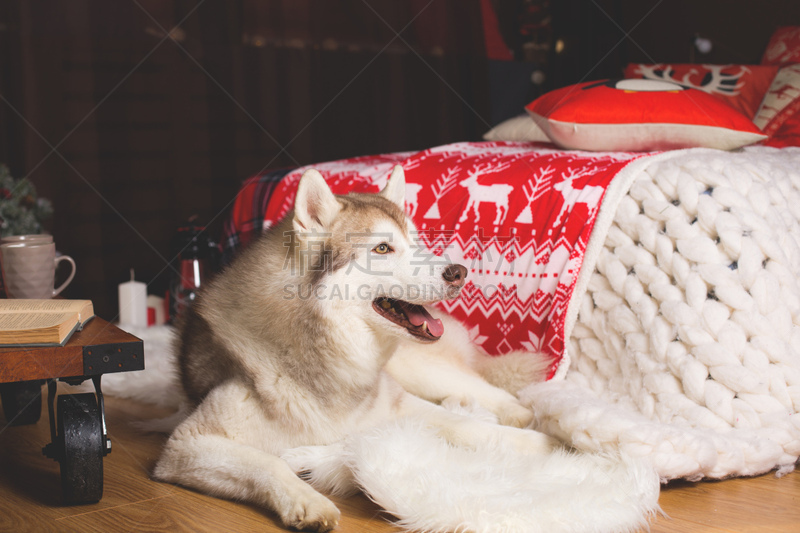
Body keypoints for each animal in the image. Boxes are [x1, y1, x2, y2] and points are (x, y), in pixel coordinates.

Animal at [155, 165, 556, 528]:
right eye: (382, 248)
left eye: (418, 244)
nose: (459, 272)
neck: (326, 354)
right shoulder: (185, 446)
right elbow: (268, 461)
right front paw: (307, 501)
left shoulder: (398, 404)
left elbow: (469, 428)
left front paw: (544, 446)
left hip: (422, 371)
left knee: (494, 393)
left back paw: (513, 412)